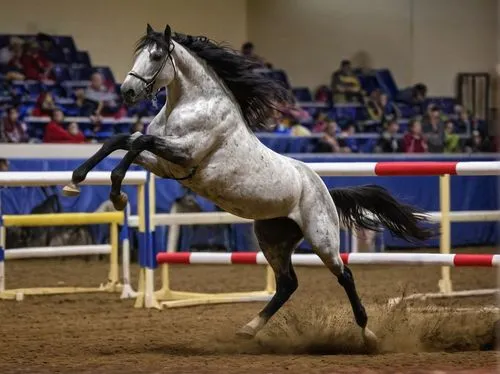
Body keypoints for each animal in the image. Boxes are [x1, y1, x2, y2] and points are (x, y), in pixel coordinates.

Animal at [62, 24, 432, 348]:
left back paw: (368, 335)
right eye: (139, 53)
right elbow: (121, 140)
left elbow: (137, 140)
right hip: (272, 237)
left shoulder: (183, 155)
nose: (127, 91)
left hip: (321, 237)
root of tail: (324, 188)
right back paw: (248, 329)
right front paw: (78, 181)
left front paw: (117, 195)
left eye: (155, 56)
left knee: (345, 276)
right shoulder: (166, 165)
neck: (191, 104)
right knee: (287, 284)